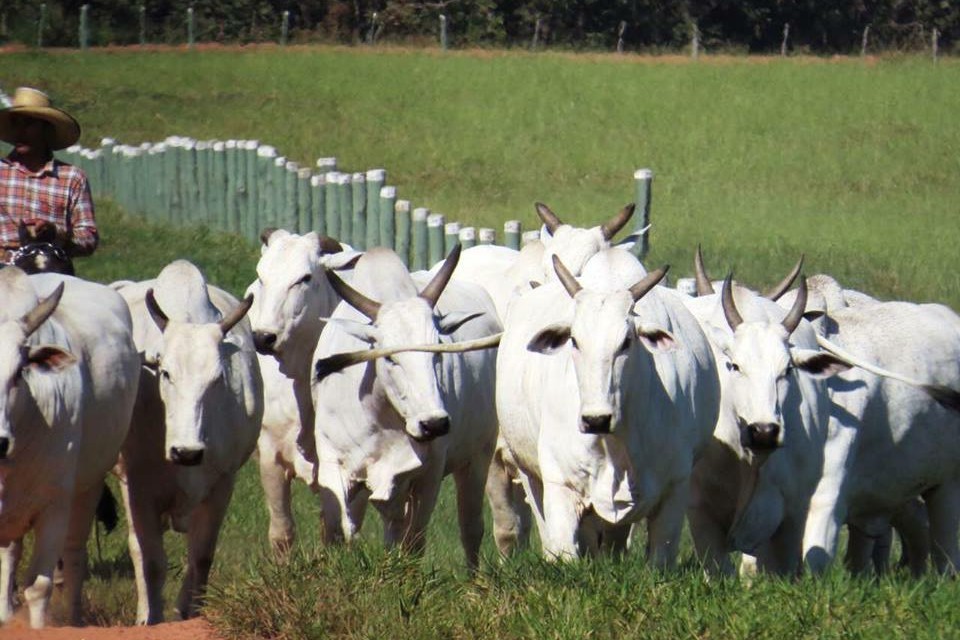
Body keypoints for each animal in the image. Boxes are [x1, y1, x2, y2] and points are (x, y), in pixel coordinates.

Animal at [112, 262, 262, 624]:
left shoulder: (223, 482)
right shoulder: (137, 487)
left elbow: (202, 556)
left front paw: (189, 612)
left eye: (218, 377)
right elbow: (150, 559)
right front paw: (149, 619)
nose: (187, 452)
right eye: (165, 372)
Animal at [312, 245, 502, 568]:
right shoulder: (333, 463)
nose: (434, 423)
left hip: (478, 456)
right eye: (390, 356)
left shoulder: (428, 475)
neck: (380, 419)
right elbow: (341, 528)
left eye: (438, 350)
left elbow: (411, 541)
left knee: (470, 527)